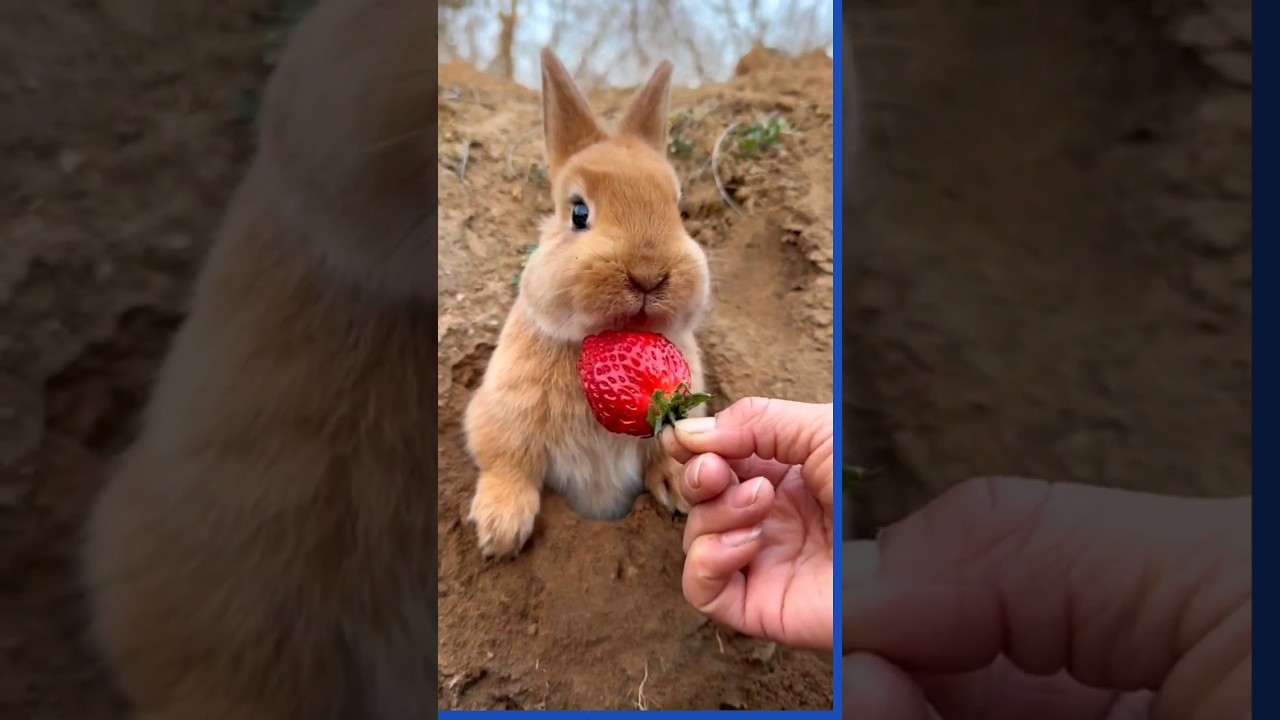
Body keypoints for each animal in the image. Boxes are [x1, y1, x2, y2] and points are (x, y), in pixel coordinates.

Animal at [464, 49, 712, 559]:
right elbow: (506, 460)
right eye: (579, 212)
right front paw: (500, 529)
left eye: (678, 210)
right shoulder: (501, 416)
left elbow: (665, 446)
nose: (648, 273)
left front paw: (677, 487)